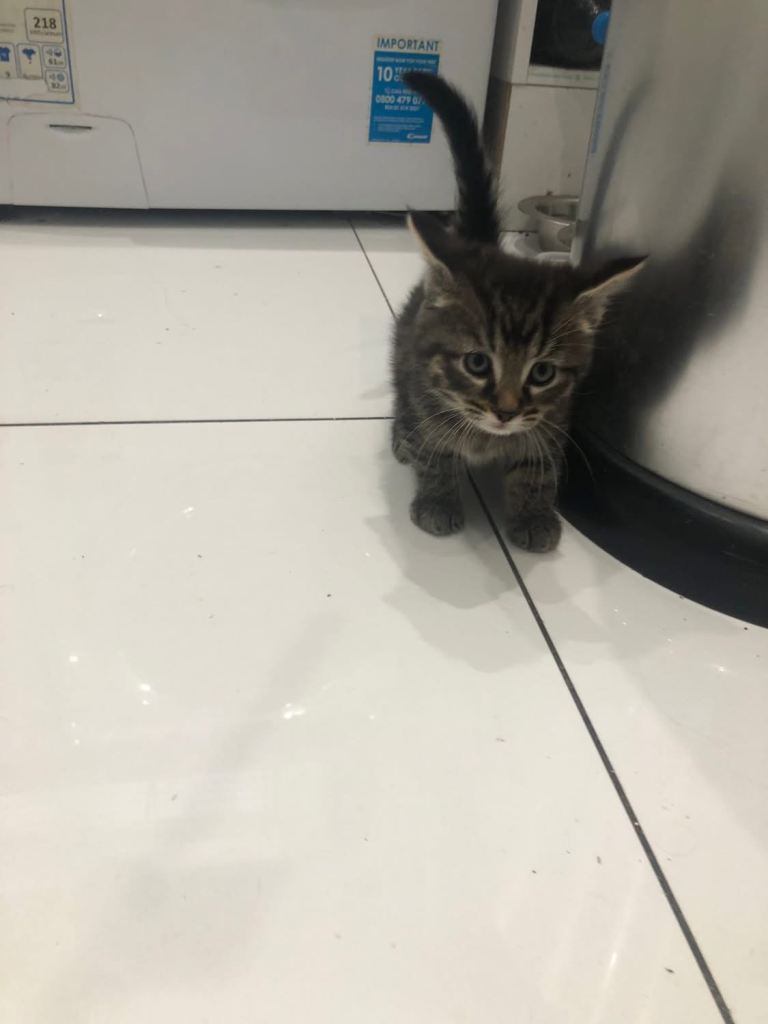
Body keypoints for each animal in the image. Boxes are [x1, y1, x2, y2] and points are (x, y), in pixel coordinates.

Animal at [392, 71, 644, 552]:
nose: (506, 413)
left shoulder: (554, 419)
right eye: (476, 363)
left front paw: (533, 514)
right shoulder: (427, 393)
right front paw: (437, 500)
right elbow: (436, 452)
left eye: (542, 373)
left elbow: (536, 467)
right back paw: (401, 436)